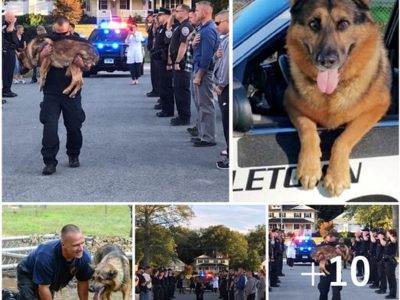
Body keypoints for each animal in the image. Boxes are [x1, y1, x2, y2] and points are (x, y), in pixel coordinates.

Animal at [284, 0, 390, 196]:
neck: (331, 93)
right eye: (313, 24)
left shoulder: (377, 108)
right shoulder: (290, 104)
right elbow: (307, 129)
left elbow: (343, 139)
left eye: (343, 24)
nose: (326, 61)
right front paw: (309, 167)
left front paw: (336, 175)